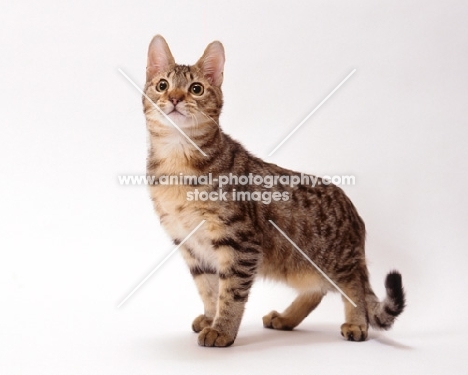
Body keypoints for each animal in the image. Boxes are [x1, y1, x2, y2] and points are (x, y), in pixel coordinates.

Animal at [143, 35, 406, 350]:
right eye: (162, 85)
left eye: (196, 89)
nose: (174, 98)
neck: (177, 161)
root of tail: (355, 215)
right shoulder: (192, 247)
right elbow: (208, 289)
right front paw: (210, 318)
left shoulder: (240, 242)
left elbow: (230, 293)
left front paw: (222, 329)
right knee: (317, 291)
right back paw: (285, 318)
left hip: (334, 260)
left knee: (352, 285)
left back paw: (356, 323)